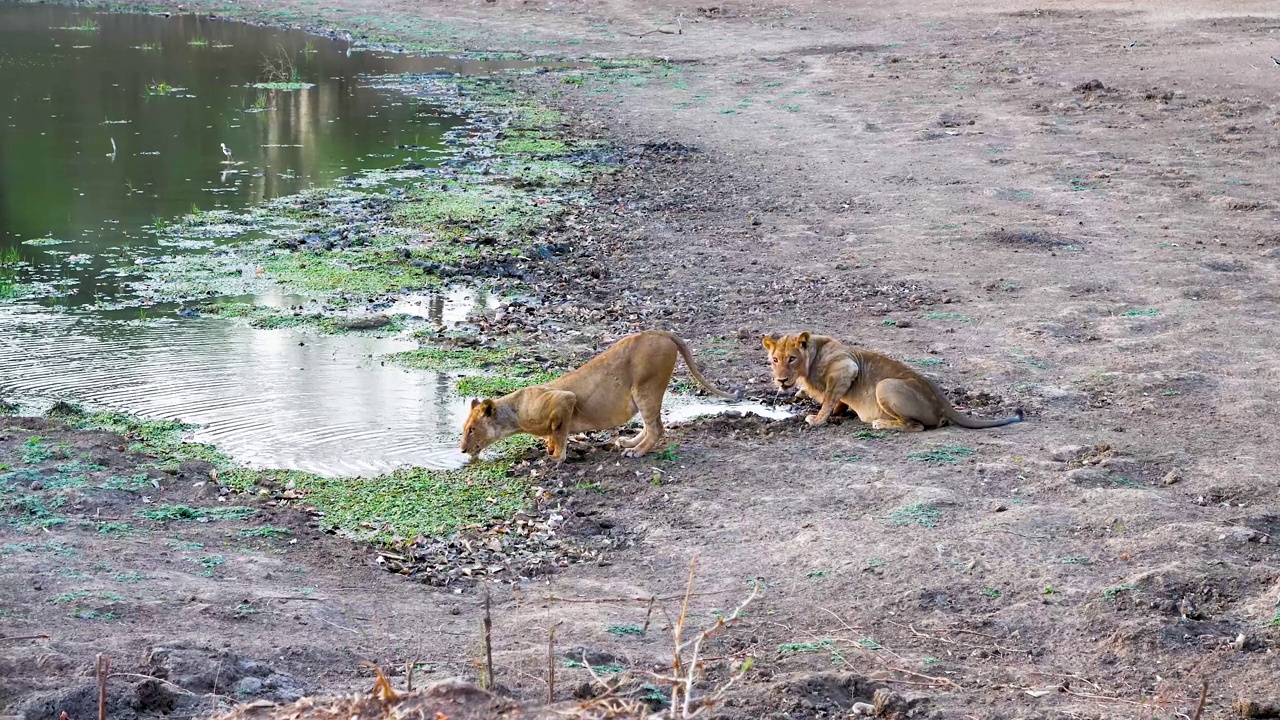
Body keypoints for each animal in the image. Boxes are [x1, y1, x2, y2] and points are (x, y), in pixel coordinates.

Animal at [460, 330, 742, 458]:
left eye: (471, 430)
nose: (462, 450)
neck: (513, 413)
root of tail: (660, 331)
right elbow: (553, 433)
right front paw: (550, 447)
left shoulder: (565, 399)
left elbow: (560, 433)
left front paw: (556, 457)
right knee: (651, 425)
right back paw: (629, 443)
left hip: (647, 387)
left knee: (657, 428)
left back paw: (637, 452)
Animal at [757, 333, 1018, 427]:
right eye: (775, 359)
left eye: (792, 359)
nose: (781, 380)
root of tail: (943, 403)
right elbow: (838, 400)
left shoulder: (846, 367)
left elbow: (830, 398)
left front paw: (818, 419)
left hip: (885, 386)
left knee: (916, 426)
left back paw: (880, 424)